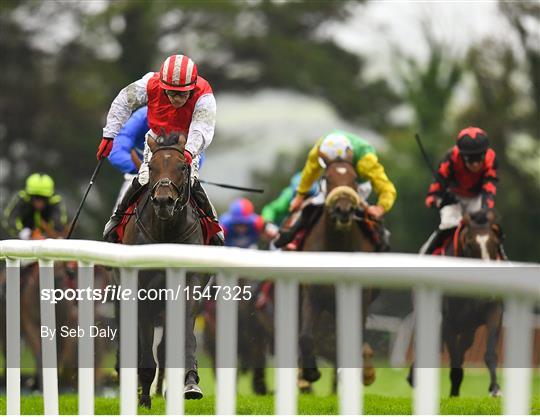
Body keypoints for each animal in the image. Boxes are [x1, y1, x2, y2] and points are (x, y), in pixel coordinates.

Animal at [120, 132, 207, 406]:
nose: (163, 202)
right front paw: (144, 399)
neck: (165, 232)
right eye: (151, 167)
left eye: (183, 167)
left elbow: (185, 335)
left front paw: (191, 382)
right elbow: (145, 347)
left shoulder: (190, 286)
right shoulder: (142, 294)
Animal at [300, 162, 380, 386]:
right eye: (327, 178)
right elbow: (306, 336)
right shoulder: (313, 295)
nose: (343, 210)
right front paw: (310, 373)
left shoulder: (360, 298)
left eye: (354, 178)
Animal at [412, 211, 504, 396]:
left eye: (496, 243)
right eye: (469, 245)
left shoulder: (493, 310)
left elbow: (489, 353)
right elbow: (454, 358)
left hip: (469, 328)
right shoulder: (448, 322)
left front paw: (495, 389)